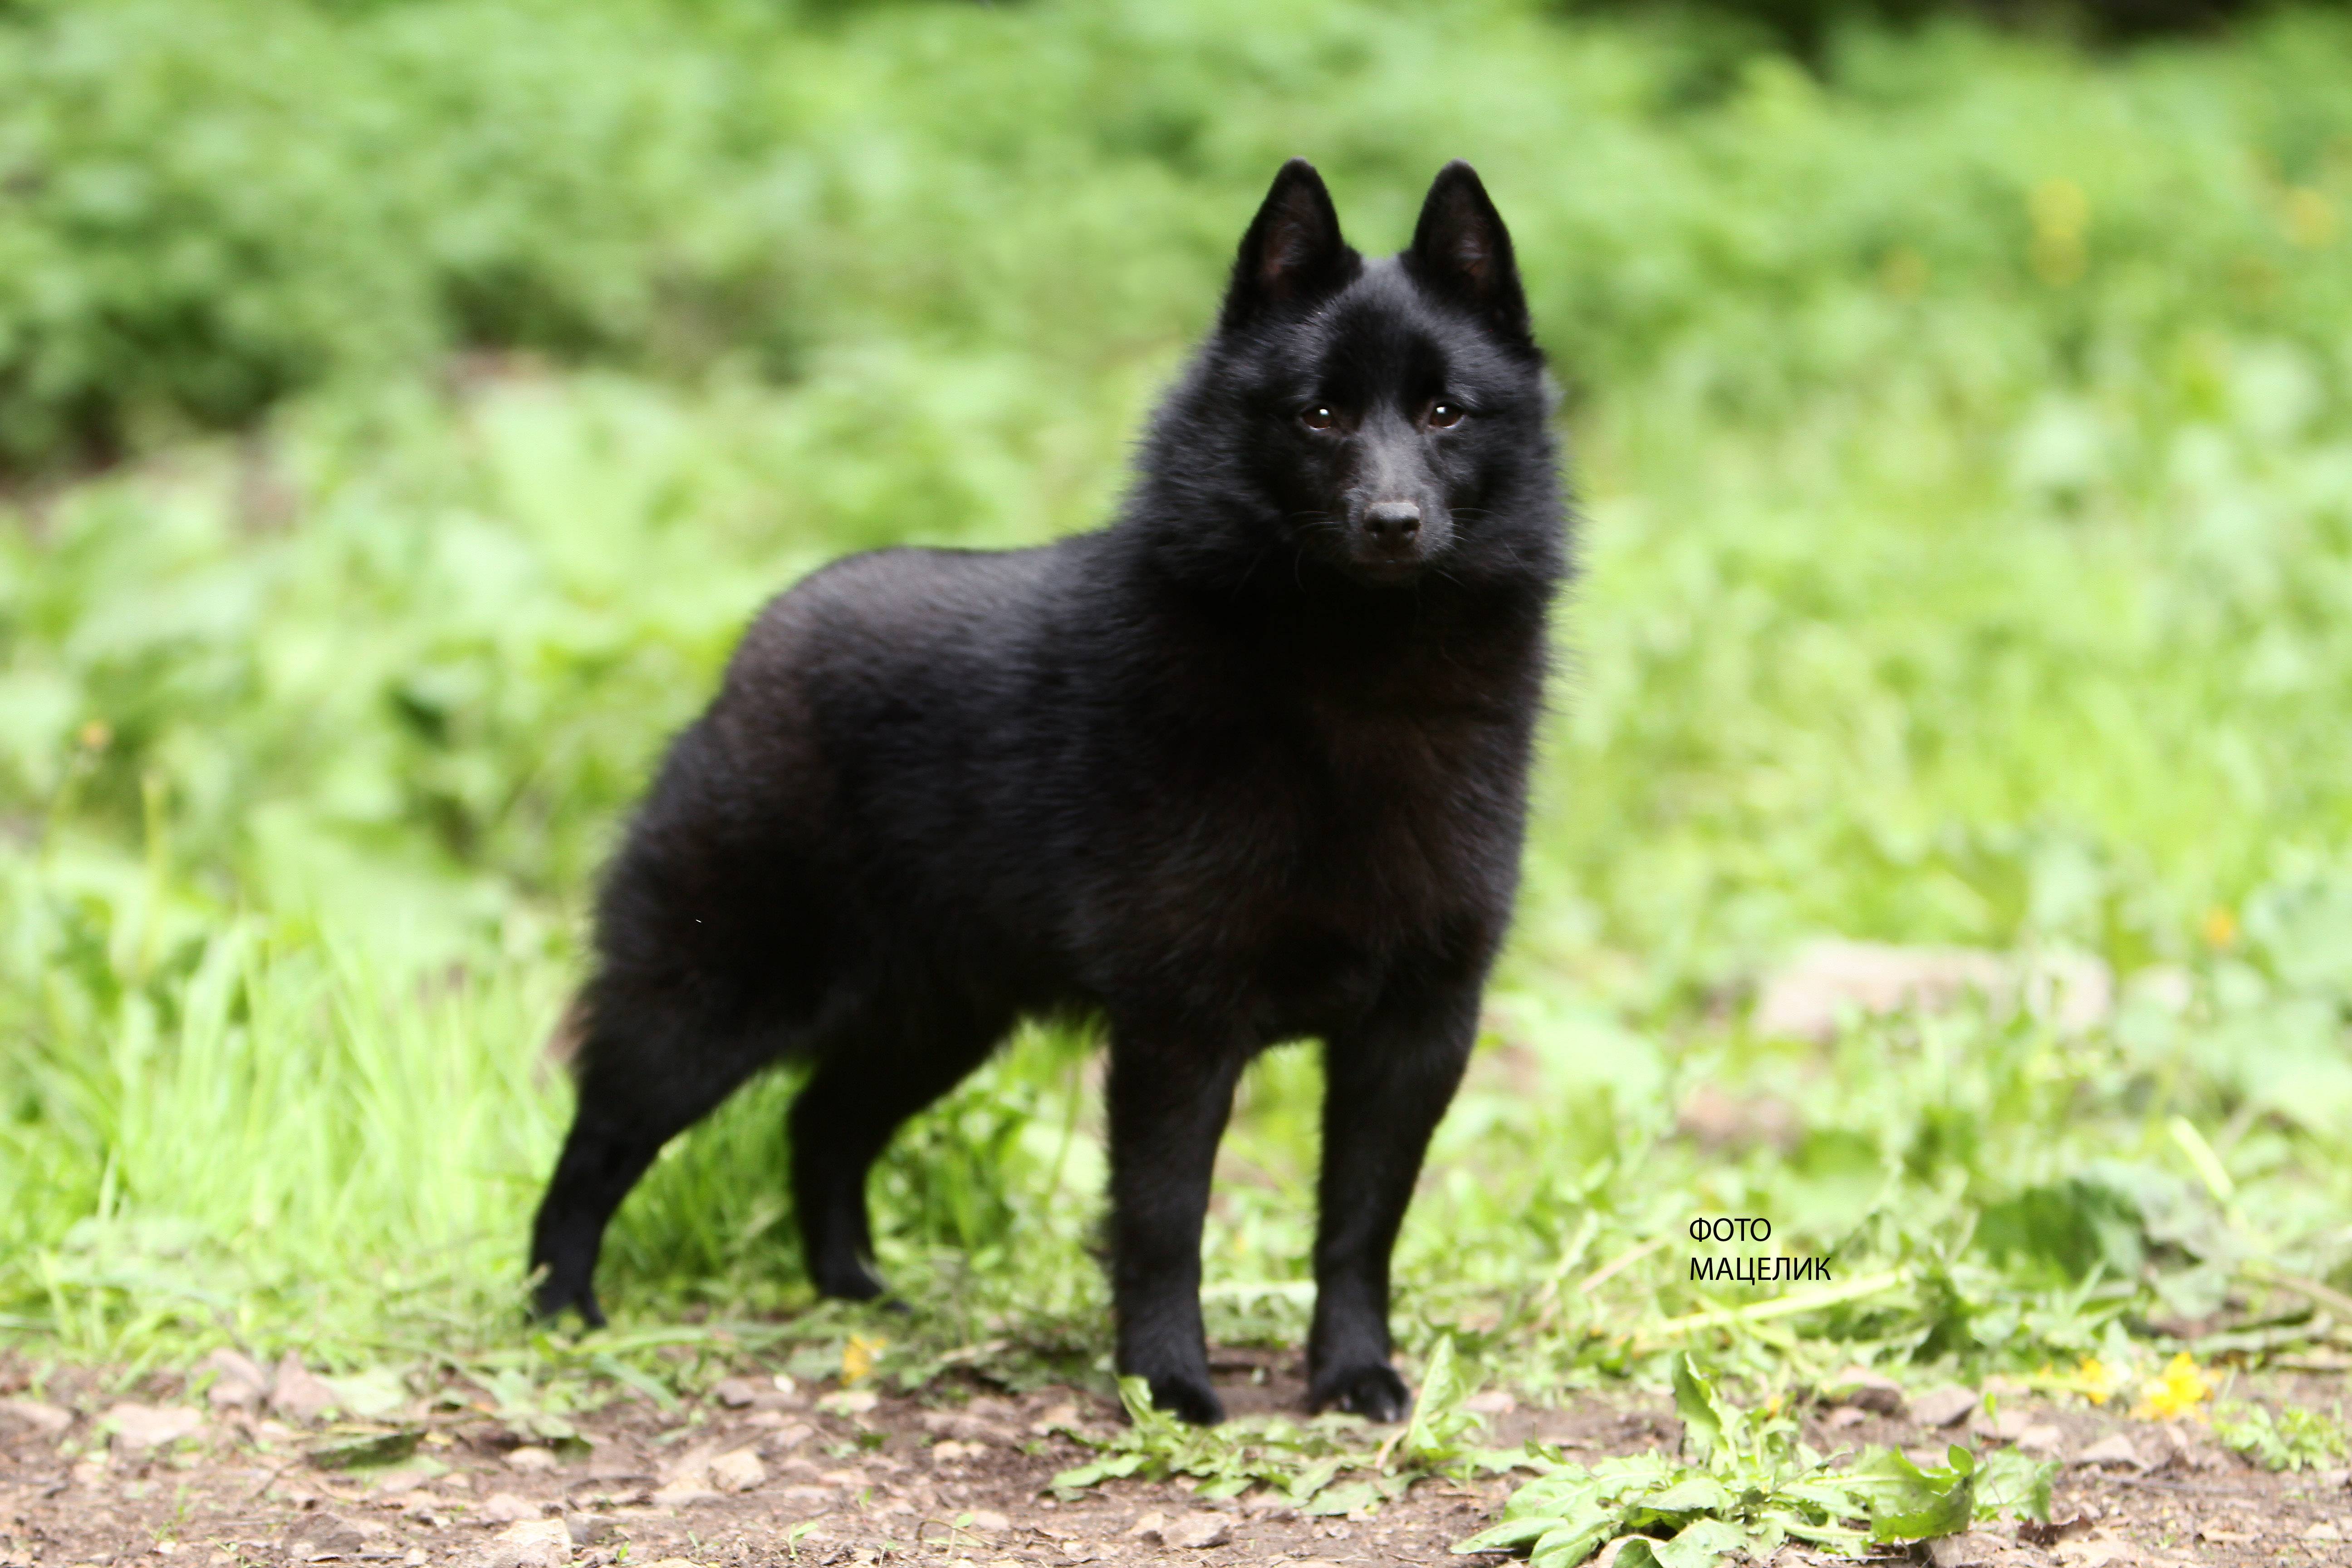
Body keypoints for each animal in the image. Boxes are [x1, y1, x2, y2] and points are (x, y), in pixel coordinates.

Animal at [531, 160, 1562, 1420]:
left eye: (1443, 412)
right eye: (1318, 414)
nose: (1393, 522)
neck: (1352, 680)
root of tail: (752, 651)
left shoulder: (1415, 1029)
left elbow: (1360, 1226)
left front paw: (1354, 1373)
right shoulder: (1180, 1027)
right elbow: (1163, 1219)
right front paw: (1167, 1381)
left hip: (935, 1016)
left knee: (820, 1124)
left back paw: (854, 1291)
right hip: (712, 996)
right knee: (600, 1138)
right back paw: (557, 1305)